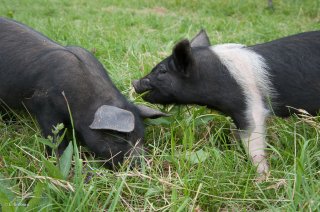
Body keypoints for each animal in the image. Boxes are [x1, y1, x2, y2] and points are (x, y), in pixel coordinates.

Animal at [0, 17, 165, 167]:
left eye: (142, 137)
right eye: (119, 137)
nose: (142, 165)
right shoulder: (44, 106)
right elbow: (54, 135)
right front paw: (59, 160)